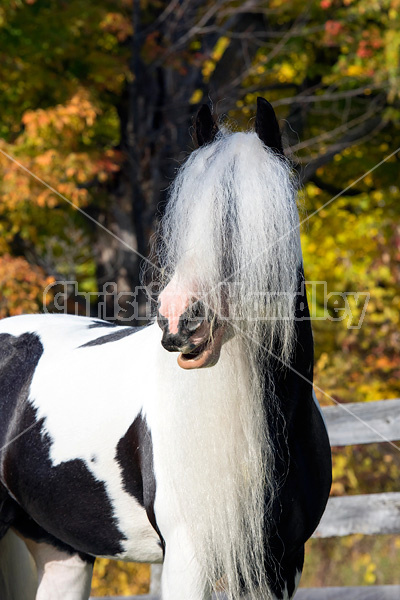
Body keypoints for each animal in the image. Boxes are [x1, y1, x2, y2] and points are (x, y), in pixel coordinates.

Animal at [0, 99, 332, 600]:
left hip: (62, 554)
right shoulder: (187, 561)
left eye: (239, 220)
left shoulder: (283, 565)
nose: (178, 320)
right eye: (182, 216)